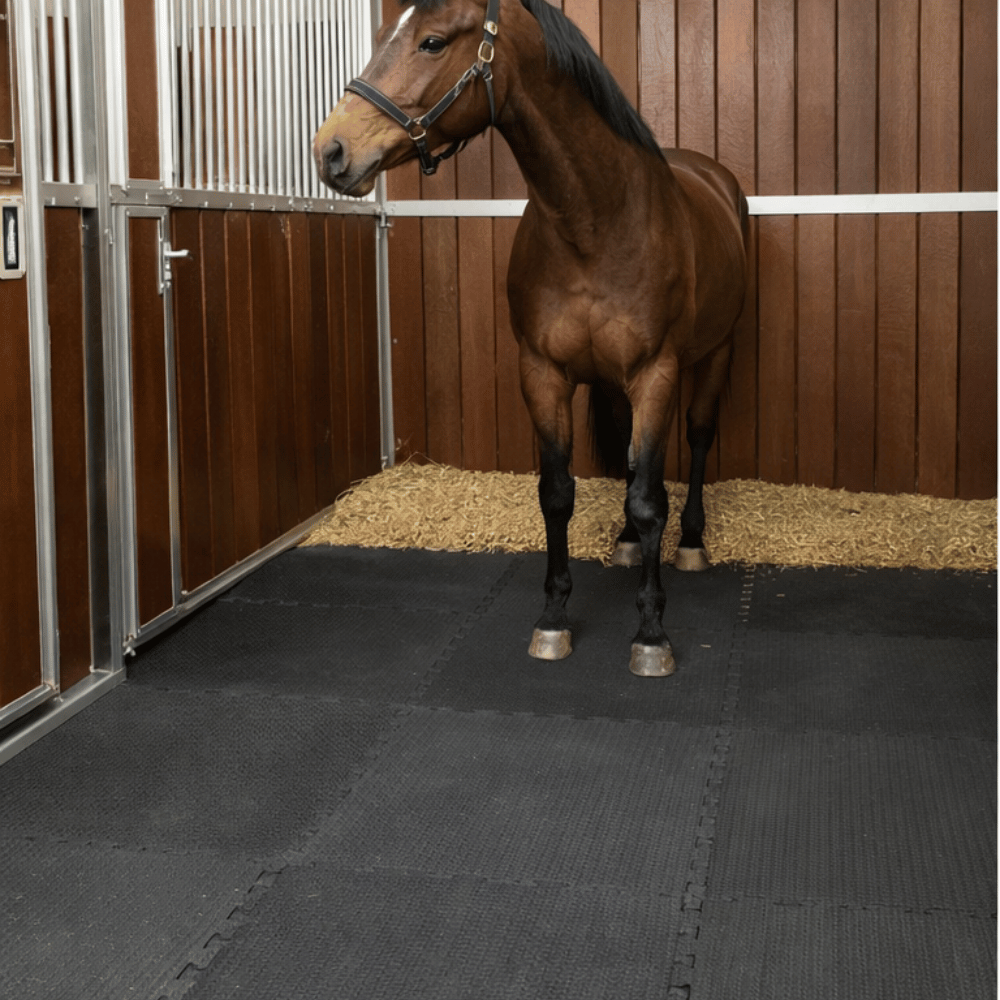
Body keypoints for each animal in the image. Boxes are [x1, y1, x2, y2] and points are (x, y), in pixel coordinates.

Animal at [313, 0, 749, 677]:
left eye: (432, 42)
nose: (331, 151)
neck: (596, 223)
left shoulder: (656, 373)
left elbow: (650, 498)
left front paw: (651, 633)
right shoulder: (542, 371)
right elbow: (559, 494)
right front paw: (553, 619)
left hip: (715, 355)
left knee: (699, 441)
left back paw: (693, 542)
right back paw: (627, 545)